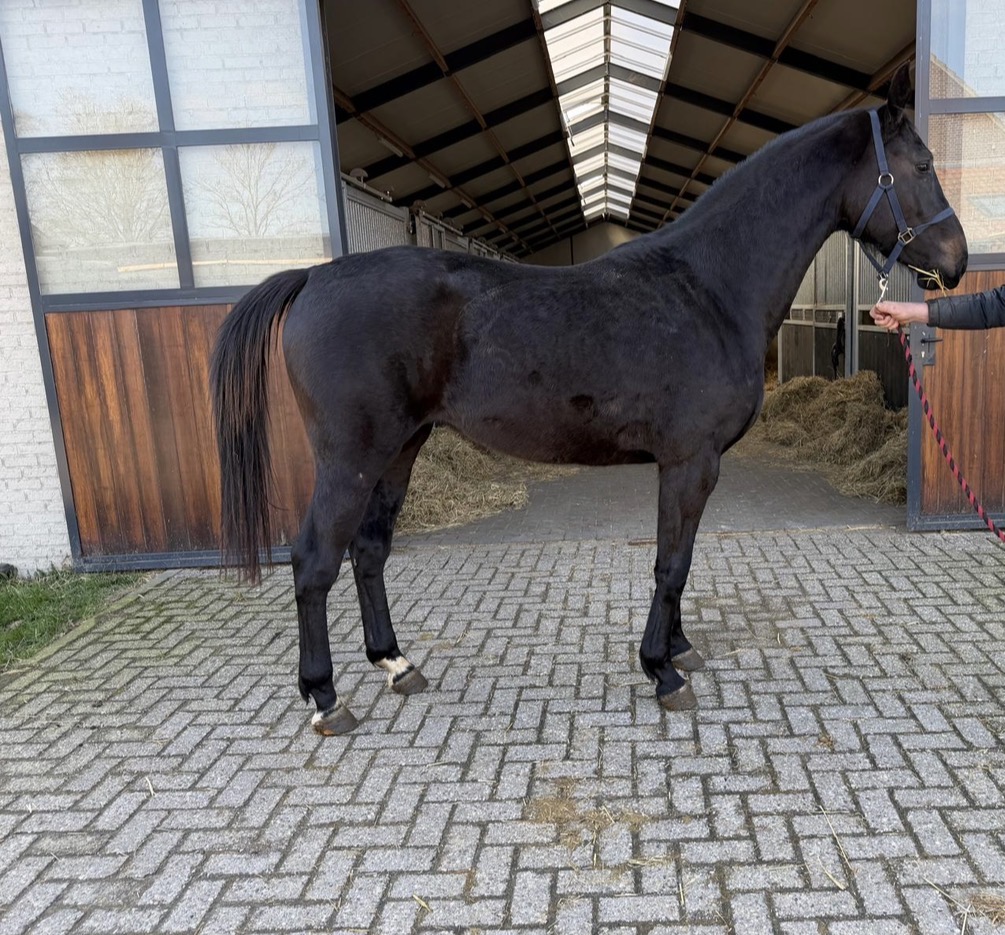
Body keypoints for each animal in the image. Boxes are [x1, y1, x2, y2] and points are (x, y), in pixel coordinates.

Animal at [211, 64, 967, 735]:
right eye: (922, 164)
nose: (956, 262)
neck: (710, 287)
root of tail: (312, 277)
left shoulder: (686, 466)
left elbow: (678, 557)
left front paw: (679, 648)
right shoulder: (690, 462)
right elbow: (671, 561)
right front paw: (663, 670)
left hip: (400, 448)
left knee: (368, 551)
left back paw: (397, 664)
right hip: (352, 458)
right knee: (314, 560)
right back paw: (325, 697)